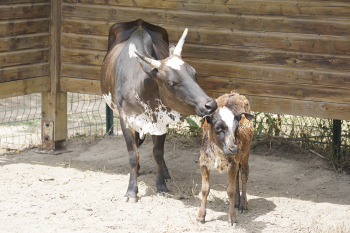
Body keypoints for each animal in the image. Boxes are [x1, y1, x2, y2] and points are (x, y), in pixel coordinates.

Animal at [100, 19, 217, 202]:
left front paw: (161, 184)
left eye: (194, 73)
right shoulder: (126, 121)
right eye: (171, 83)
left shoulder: (161, 122)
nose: (210, 104)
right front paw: (131, 190)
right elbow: (133, 155)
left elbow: (158, 153)